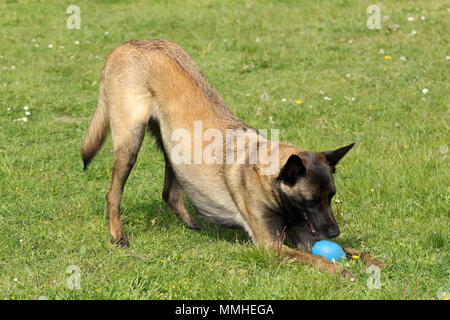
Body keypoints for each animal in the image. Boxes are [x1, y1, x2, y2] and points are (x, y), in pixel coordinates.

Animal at [81, 39, 384, 276]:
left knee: (170, 193)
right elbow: (316, 259)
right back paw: (118, 235)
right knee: (113, 194)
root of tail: (128, 44)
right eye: (310, 200)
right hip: (130, 141)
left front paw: (372, 259)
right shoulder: (271, 245)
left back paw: (195, 226)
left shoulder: (304, 234)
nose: (333, 233)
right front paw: (341, 270)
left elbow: (350, 251)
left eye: (331, 197)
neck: (265, 175)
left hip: (172, 146)